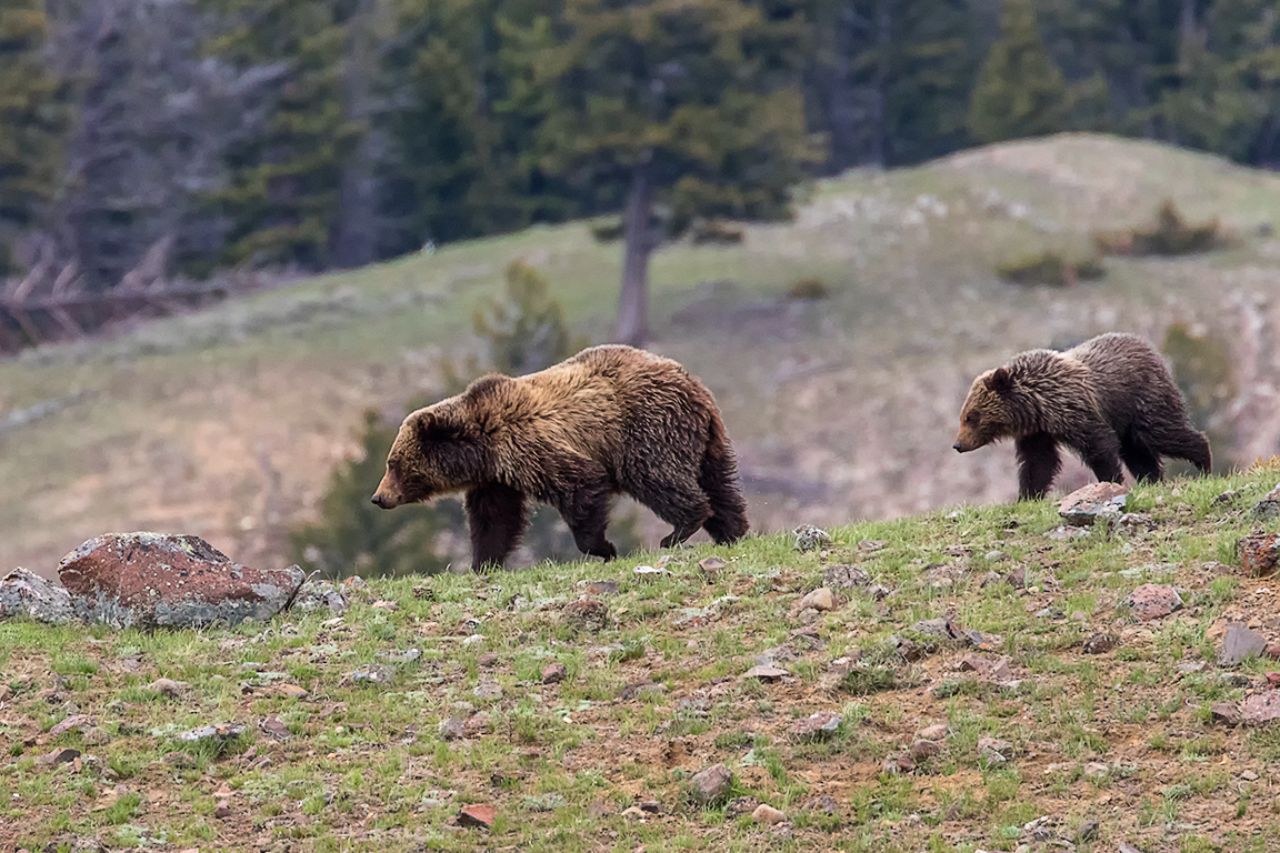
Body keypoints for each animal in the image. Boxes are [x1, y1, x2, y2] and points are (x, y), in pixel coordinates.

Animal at [370, 344, 749, 569]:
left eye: (393, 464)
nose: (378, 497)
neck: (483, 448)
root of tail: (694, 386)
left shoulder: (532, 447)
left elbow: (581, 487)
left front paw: (603, 547)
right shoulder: (496, 480)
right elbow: (495, 520)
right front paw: (484, 562)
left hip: (648, 426)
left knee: (656, 475)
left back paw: (679, 530)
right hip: (707, 441)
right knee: (719, 483)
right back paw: (732, 530)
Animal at [952, 332, 1211, 500]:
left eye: (971, 416)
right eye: (964, 415)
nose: (958, 445)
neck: (1037, 406)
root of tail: (1149, 349)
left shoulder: (1076, 411)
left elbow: (1099, 446)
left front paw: (1110, 481)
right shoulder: (1038, 433)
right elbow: (1038, 463)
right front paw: (1028, 496)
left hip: (1144, 400)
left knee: (1164, 433)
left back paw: (1204, 464)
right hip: (1127, 422)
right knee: (1138, 452)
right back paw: (1152, 479)